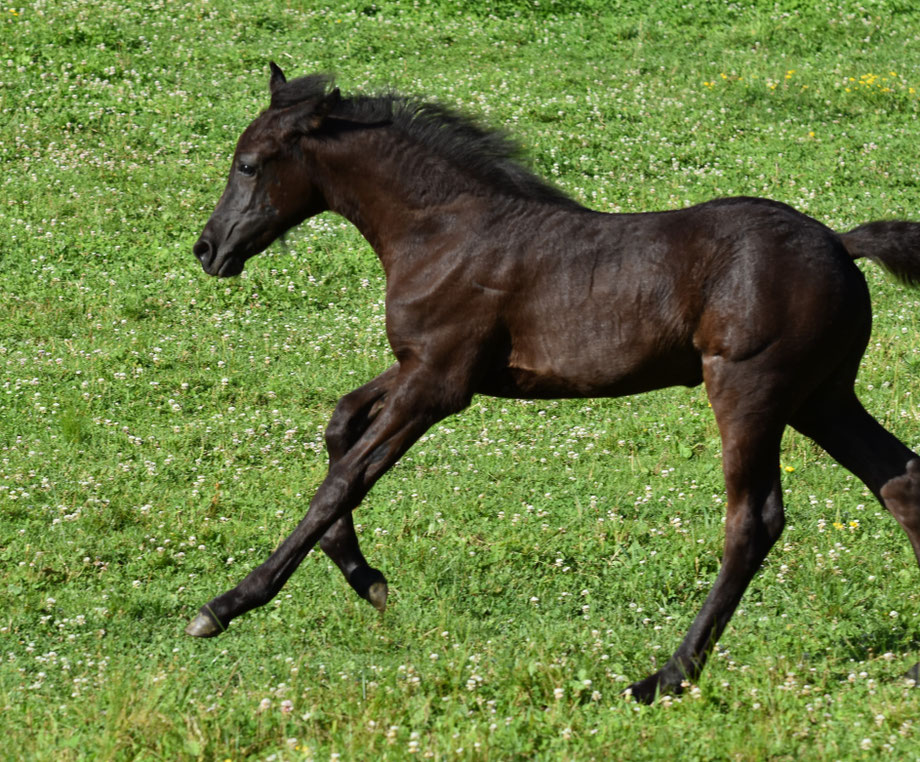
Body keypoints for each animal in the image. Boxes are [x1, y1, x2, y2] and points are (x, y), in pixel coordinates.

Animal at [189, 63, 920, 702]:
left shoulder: (438, 383)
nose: (207, 248)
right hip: (821, 397)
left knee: (754, 521)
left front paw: (226, 605)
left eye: (248, 164)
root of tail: (840, 244)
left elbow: (343, 479)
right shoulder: (424, 365)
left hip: (751, 389)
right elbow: (340, 424)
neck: (442, 230)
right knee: (900, 481)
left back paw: (664, 677)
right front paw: (367, 578)